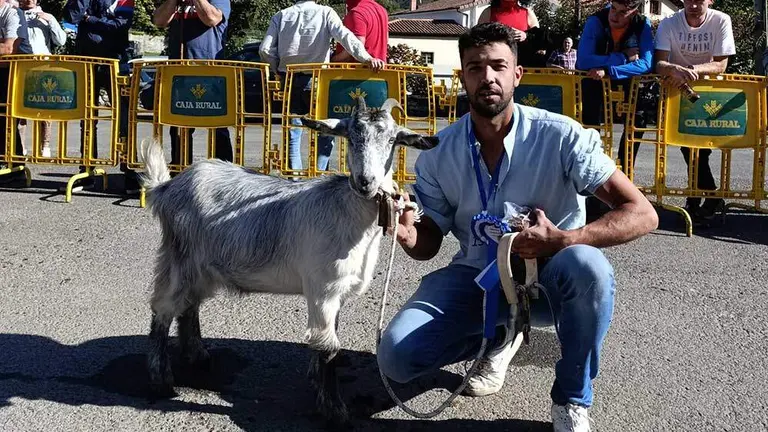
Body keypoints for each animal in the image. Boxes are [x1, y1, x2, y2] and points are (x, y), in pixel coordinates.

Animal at [140, 97, 439, 425]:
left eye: (391, 140)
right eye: (350, 136)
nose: (365, 182)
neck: (349, 211)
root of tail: (166, 189)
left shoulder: (334, 293)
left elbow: (327, 338)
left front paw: (317, 382)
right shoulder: (323, 290)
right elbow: (330, 347)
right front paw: (334, 410)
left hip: (202, 268)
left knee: (189, 306)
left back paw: (198, 356)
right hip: (179, 259)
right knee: (164, 309)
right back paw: (160, 380)